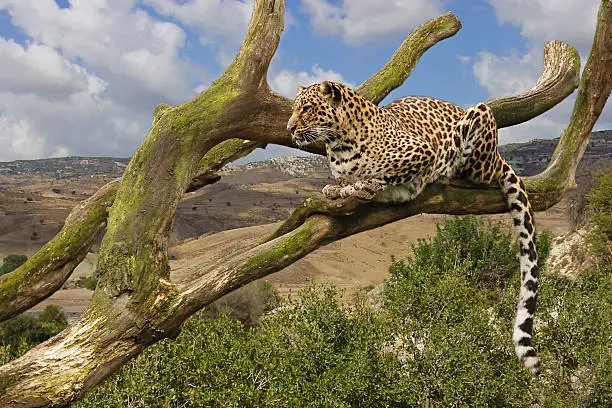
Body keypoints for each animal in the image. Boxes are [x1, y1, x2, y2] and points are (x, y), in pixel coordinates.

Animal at [286, 81, 540, 374]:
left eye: (306, 109)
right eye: (295, 109)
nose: (289, 128)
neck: (339, 145)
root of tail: (500, 154)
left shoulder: (422, 151)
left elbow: (384, 175)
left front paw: (363, 185)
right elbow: (344, 182)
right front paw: (337, 188)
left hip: (481, 129)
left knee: (481, 169)